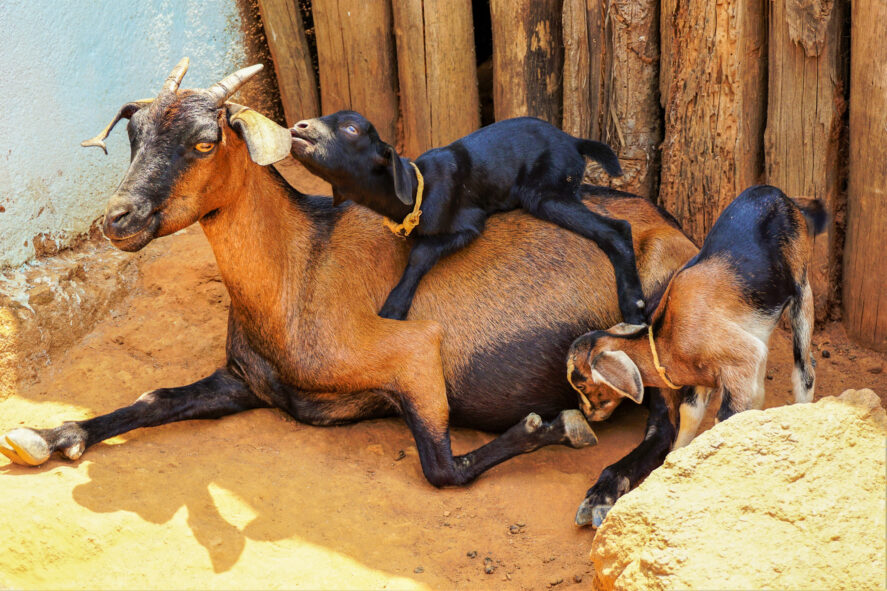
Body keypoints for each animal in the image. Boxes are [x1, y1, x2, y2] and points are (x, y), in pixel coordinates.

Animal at [292, 111, 644, 324]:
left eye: (352, 129)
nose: (298, 127)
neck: (418, 190)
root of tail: (573, 141)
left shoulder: (469, 223)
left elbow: (421, 254)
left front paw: (394, 306)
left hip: (547, 193)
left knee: (617, 228)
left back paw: (635, 306)